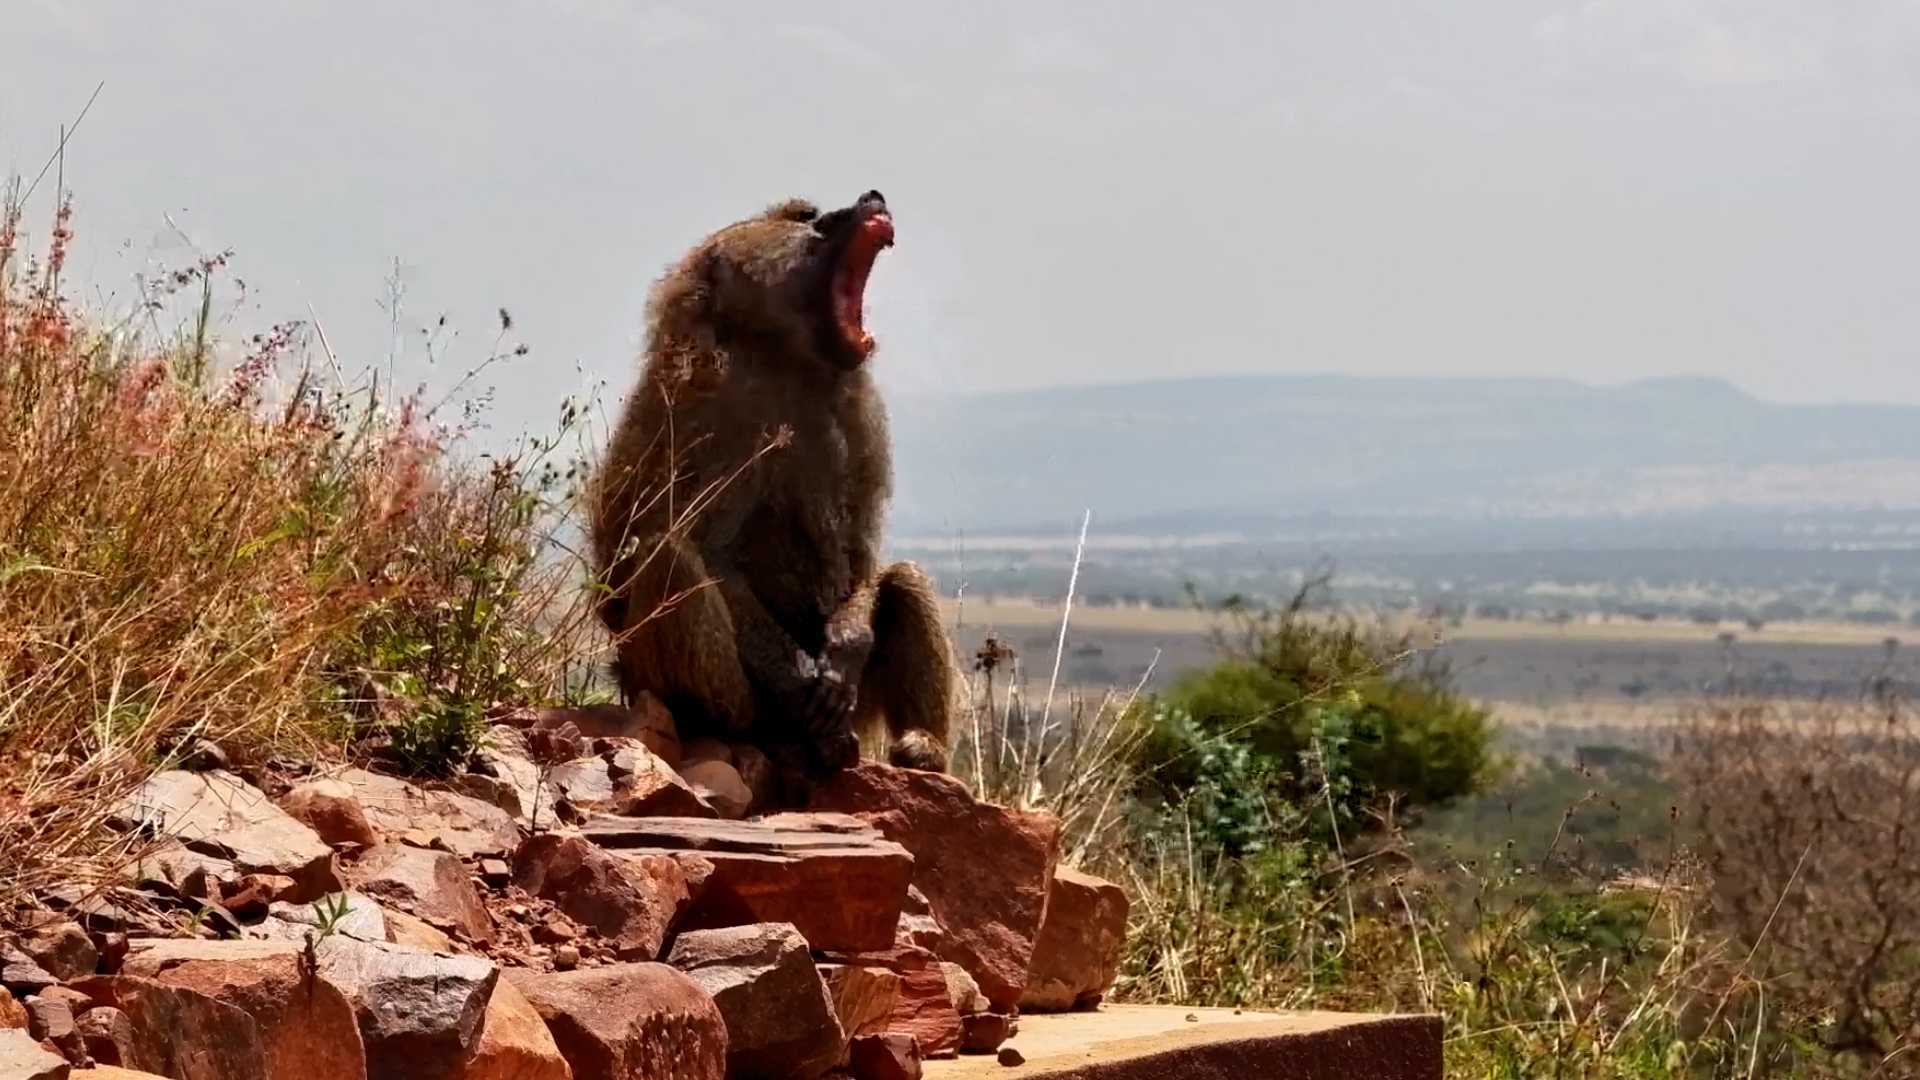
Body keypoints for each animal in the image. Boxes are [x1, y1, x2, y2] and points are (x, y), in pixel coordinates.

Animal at [590, 190, 955, 780]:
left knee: (902, 580)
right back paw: (725, 721)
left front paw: (847, 645)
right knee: (667, 556)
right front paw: (798, 676)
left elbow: (860, 547)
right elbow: (703, 547)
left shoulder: (860, 407)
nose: (871, 197)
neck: (785, 358)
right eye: (805, 217)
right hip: (715, 694)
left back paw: (923, 749)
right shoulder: (712, 406)